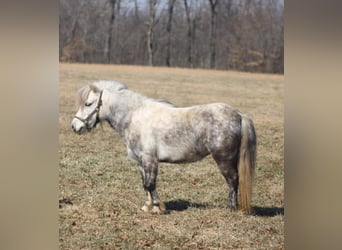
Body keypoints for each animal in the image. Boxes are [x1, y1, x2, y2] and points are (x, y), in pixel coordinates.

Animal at [71, 81, 255, 214]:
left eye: (88, 104)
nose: (75, 126)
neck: (134, 116)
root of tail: (239, 115)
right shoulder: (141, 161)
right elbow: (145, 184)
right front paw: (147, 207)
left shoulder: (149, 159)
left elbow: (150, 184)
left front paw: (156, 208)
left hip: (224, 158)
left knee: (233, 180)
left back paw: (231, 208)